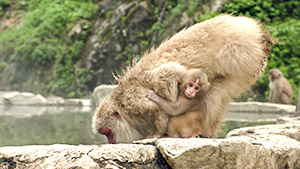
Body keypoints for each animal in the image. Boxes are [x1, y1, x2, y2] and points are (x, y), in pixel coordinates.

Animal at [91, 14, 270, 144]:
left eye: (107, 133)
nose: (110, 142)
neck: (123, 108)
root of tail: (255, 32)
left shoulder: (133, 100)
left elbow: (170, 74)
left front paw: (157, 130)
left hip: (240, 57)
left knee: (214, 91)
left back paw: (204, 132)